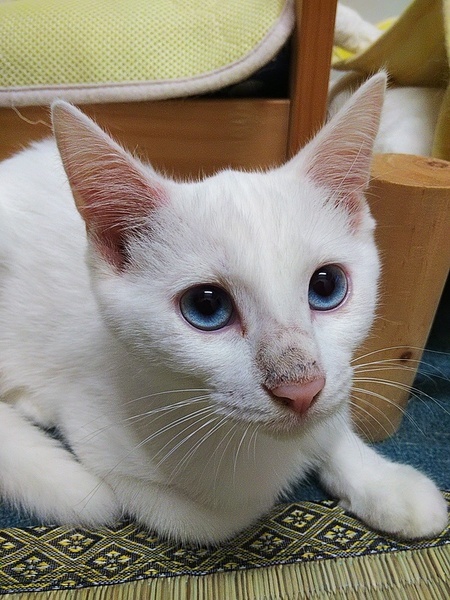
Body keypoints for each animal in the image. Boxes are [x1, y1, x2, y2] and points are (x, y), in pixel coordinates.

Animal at [0, 73, 447, 545]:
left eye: (327, 287)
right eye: (206, 306)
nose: (301, 388)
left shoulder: (335, 382)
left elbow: (331, 422)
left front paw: (384, 482)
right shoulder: (97, 431)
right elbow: (212, 518)